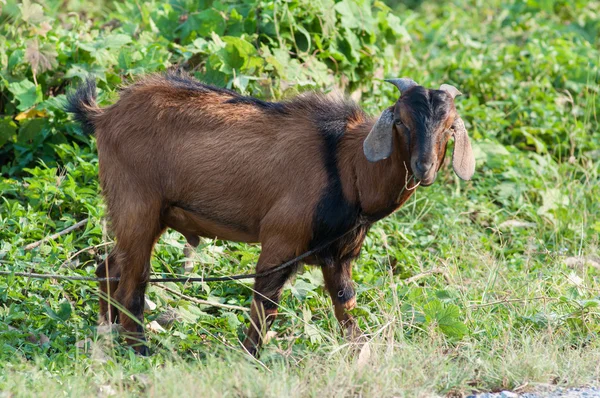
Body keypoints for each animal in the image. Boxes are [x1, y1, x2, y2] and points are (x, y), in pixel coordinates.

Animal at [65, 73, 476, 356]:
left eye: (449, 127)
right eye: (401, 122)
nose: (424, 169)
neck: (347, 165)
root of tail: (104, 115)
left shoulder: (339, 252)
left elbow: (344, 300)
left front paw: (360, 352)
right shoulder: (282, 239)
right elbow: (266, 302)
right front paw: (250, 356)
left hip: (139, 214)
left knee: (108, 267)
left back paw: (106, 334)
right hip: (138, 205)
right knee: (133, 282)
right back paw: (138, 349)